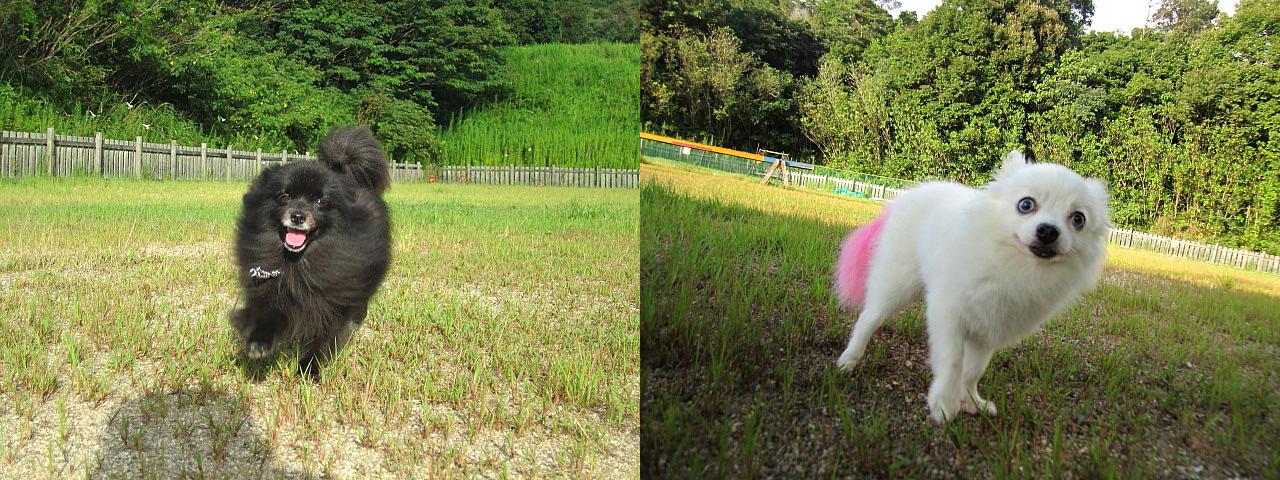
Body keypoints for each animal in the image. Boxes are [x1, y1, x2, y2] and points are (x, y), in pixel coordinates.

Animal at [231, 126, 392, 379]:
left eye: (320, 201)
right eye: (284, 196)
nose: (298, 216)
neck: (300, 262)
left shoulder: (334, 299)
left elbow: (324, 337)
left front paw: (309, 367)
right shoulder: (276, 289)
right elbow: (268, 315)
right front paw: (259, 343)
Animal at [833, 151, 1109, 423]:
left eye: (1078, 219)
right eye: (1026, 205)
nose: (1049, 231)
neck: (1015, 266)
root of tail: (911, 194)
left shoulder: (988, 331)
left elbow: (973, 371)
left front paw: (971, 401)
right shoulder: (948, 314)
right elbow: (953, 360)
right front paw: (944, 403)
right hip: (897, 282)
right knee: (869, 318)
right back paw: (849, 359)